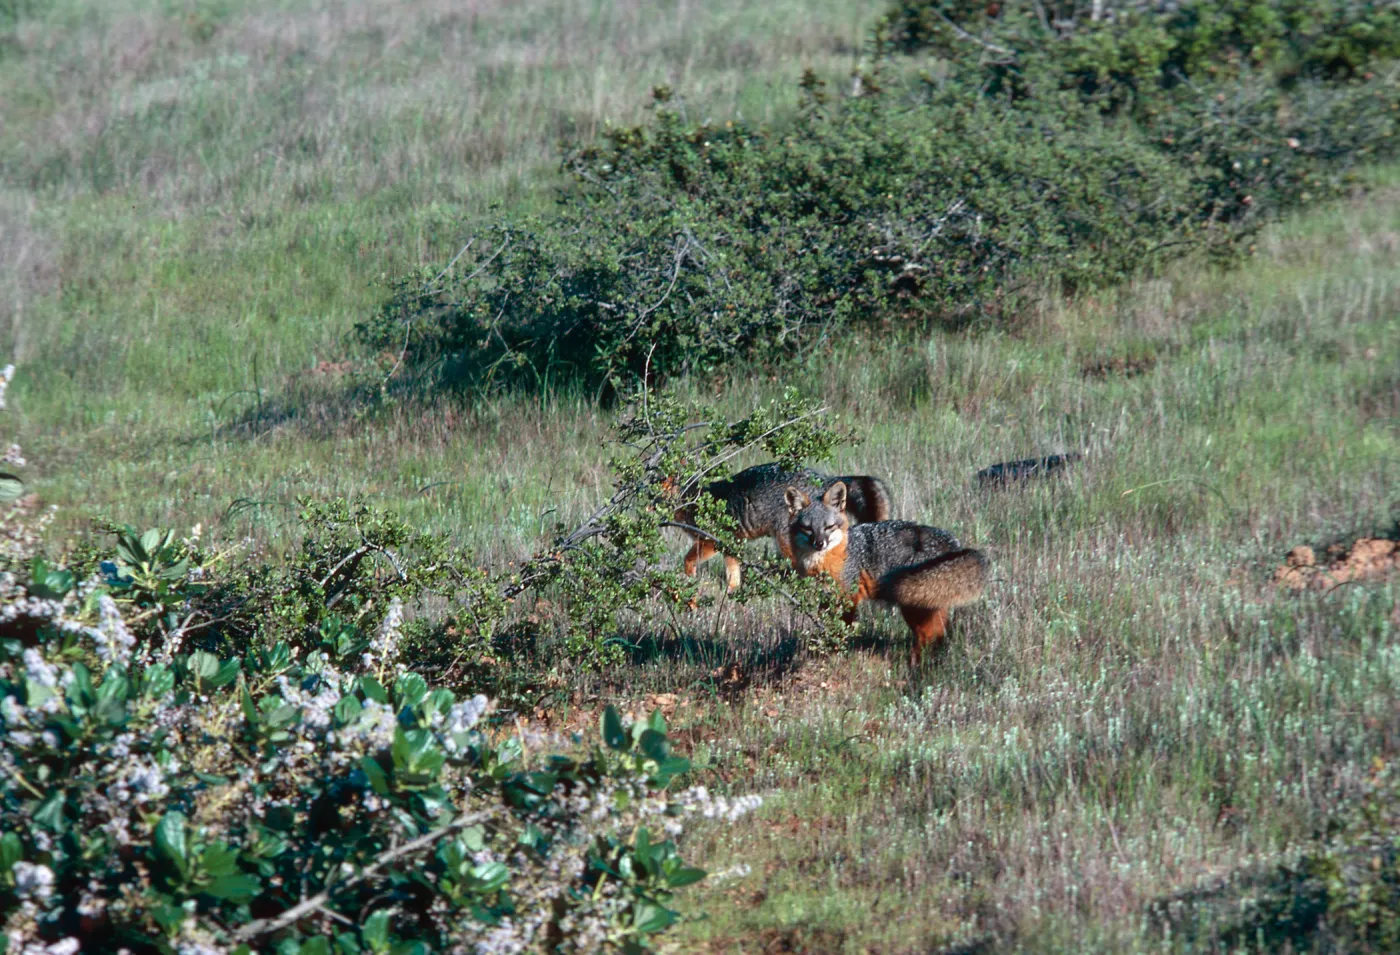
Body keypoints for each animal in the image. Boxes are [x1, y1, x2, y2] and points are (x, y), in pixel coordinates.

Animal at [673, 462, 891, 592]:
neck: (691, 501)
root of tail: (823, 479)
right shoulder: (733, 541)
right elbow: (733, 571)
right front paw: (731, 591)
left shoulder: (712, 540)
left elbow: (688, 560)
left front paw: (689, 580)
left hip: (787, 544)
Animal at [782, 481, 988, 664]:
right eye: (808, 528)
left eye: (829, 527)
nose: (819, 543)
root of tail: (952, 541)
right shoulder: (827, 600)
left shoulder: (848, 598)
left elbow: (842, 630)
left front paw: (836, 652)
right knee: (939, 632)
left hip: (913, 605)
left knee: (930, 634)